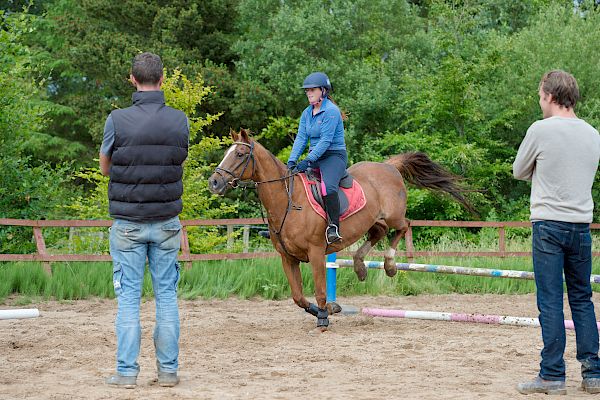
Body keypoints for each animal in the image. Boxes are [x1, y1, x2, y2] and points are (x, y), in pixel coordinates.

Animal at [209, 130, 476, 330]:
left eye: (240, 154)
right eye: (226, 153)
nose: (214, 182)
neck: (288, 201)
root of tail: (389, 166)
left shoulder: (316, 253)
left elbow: (319, 291)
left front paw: (324, 319)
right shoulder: (288, 257)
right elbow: (298, 297)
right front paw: (329, 310)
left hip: (393, 216)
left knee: (403, 227)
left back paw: (389, 266)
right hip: (372, 220)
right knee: (378, 232)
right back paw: (359, 267)